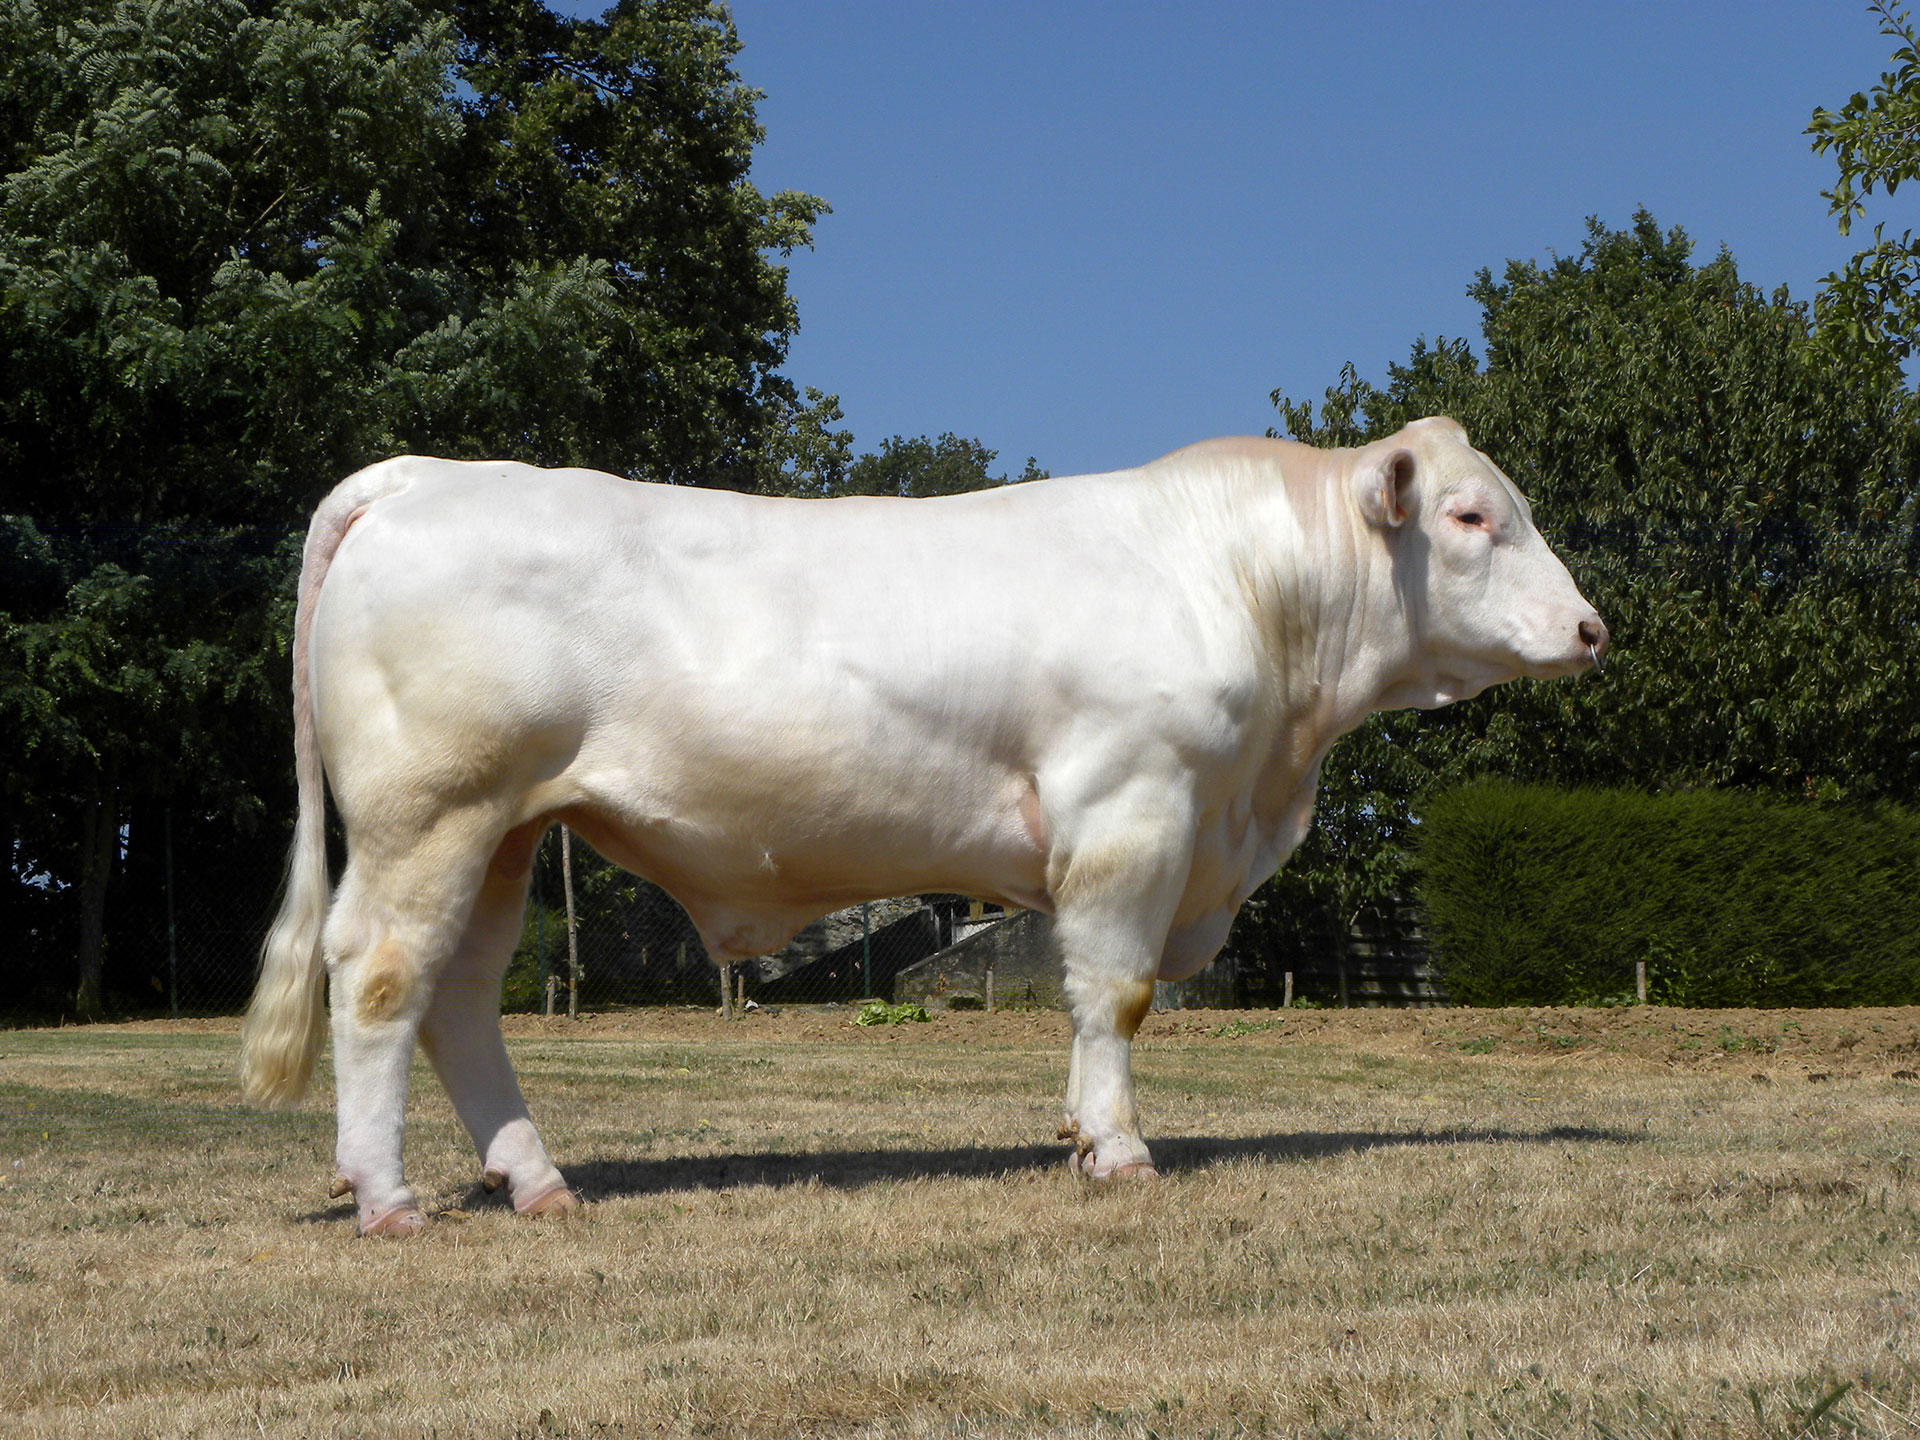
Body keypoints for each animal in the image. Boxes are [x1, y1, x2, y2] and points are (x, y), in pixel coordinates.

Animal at [240, 416, 1605, 1244]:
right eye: (1473, 518)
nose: (1592, 628)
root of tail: (423, 474)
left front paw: (1081, 1134)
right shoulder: (1133, 805)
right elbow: (1115, 993)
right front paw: (1116, 1149)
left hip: (510, 832)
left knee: (462, 996)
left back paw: (536, 1182)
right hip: (433, 811)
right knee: (380, 977)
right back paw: (387, 1195)